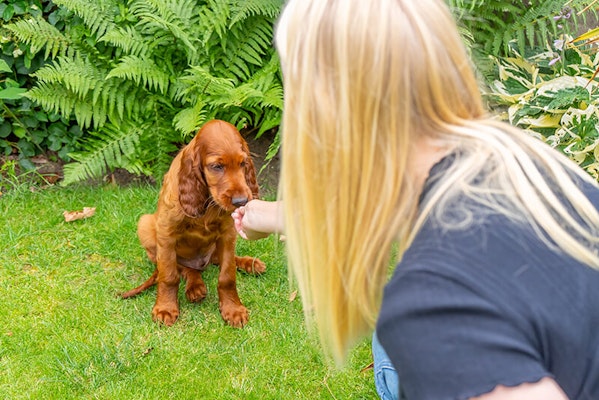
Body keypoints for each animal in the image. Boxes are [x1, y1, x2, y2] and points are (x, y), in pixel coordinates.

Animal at [123, 120, 266, 326]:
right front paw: (165, 308)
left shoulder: (228, 233)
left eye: (243, 163)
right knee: (184, 268)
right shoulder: (166, 233)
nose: (241, 201)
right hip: (145, 225)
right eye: (217, 166)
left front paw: (233, 309)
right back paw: (195, 287)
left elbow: (227, 275)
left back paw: (250, 264)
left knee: (216, 259)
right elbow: (169, 275)